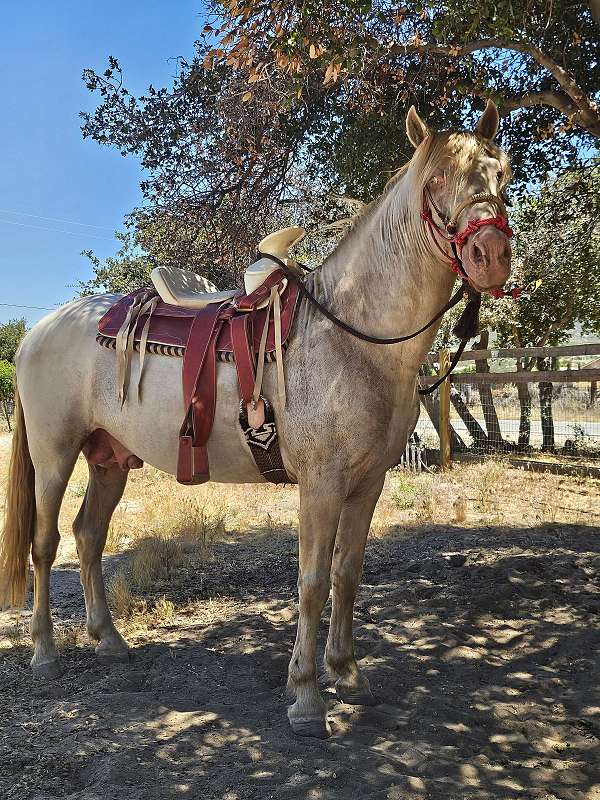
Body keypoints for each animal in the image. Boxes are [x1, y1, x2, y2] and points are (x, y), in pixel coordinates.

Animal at [0, 102, 512, 738]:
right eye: (436, 180)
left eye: (503, 173)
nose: (492, 256)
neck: (353, 336)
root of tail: (40, 330)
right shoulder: (321, 484)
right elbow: (312, 583)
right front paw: (307, 696)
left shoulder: (367, 484)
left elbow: (347, 575)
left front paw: (347, 673)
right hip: (54, 455)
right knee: (45, 545)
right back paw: (45, 651)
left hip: (109, 459)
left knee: (88, 535)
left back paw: (110, 641)